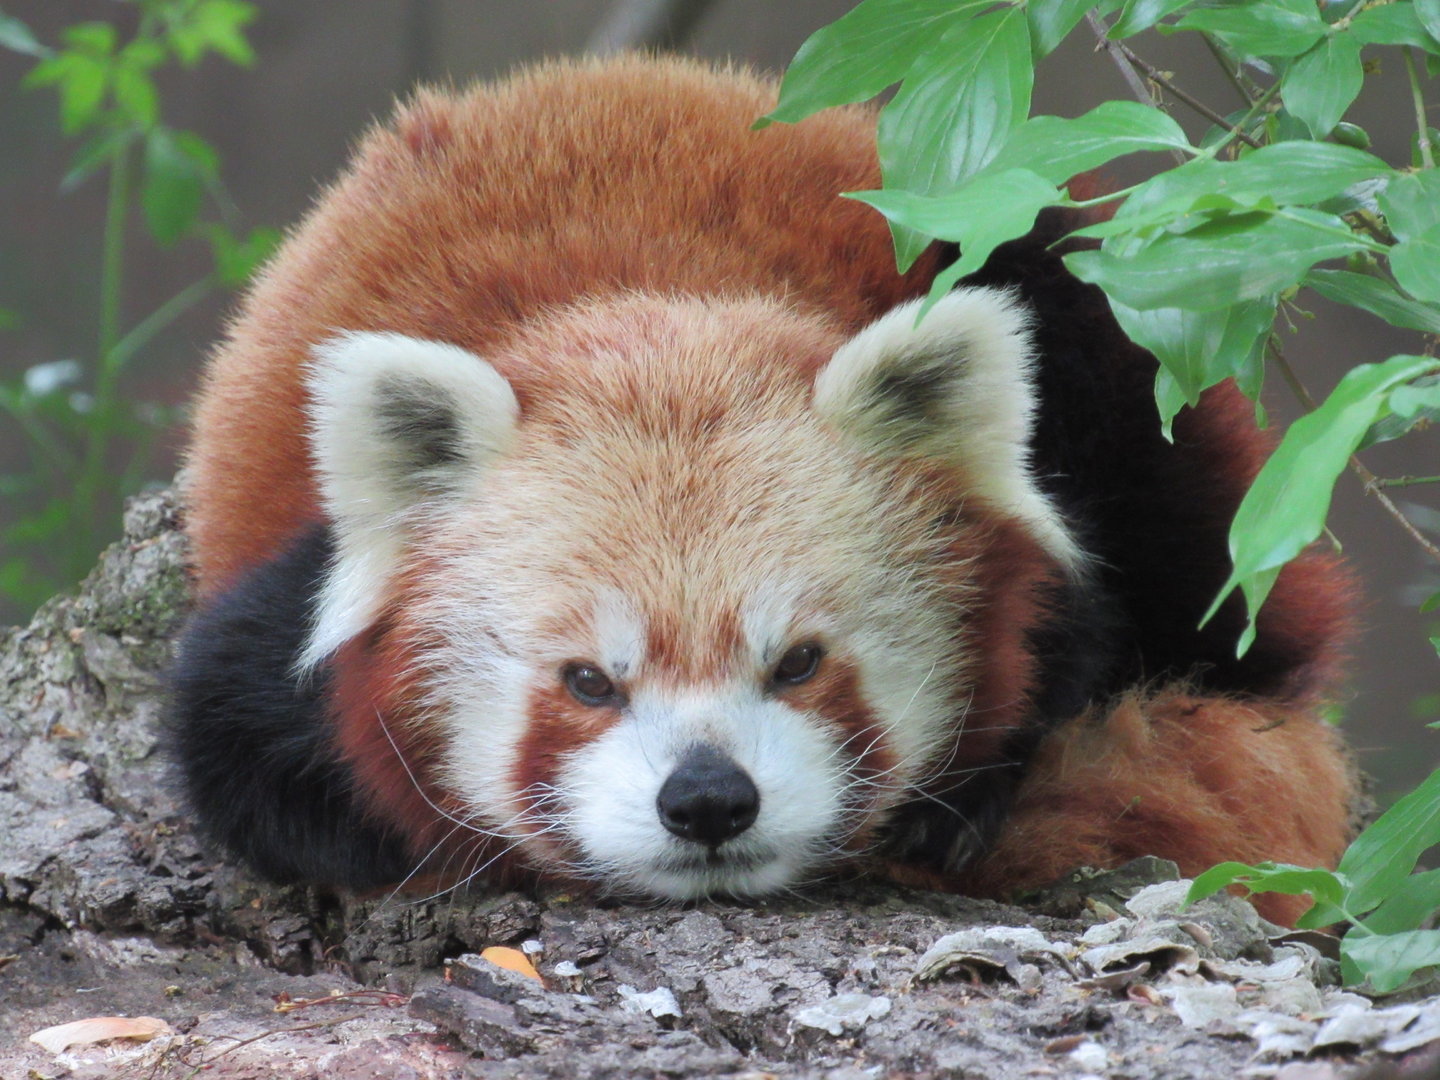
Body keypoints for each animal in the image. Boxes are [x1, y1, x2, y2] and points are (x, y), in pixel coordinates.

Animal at [169, 54, 1356, 924]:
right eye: (588, 682)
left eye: (799, 662)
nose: (707, 802)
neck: (652, 303)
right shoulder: (282, 608)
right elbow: (242, 752)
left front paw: (958, 806)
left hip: (1048, 286)